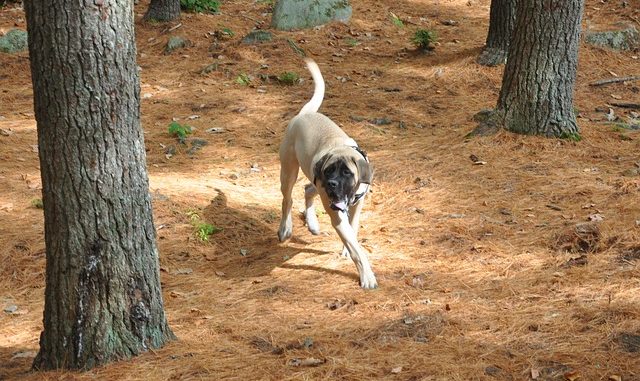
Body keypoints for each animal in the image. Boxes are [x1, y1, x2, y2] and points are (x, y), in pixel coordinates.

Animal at [278, 57, 378, 288]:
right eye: (329, 170)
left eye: (347, 173)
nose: (332, 183)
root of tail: (305, 114)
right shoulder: (336, 212)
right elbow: (357, 249)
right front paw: (366, 275)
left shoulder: (356, 204)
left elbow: (353, 231)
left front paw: (346, 249)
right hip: (290, 172)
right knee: (287, 199)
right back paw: (285, 229)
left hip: (315, 182)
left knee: (308, 189)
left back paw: (313, 224)